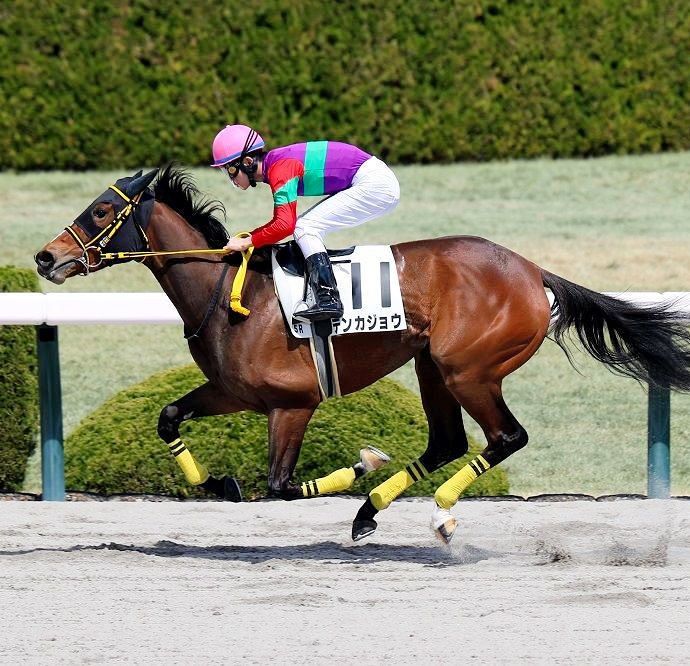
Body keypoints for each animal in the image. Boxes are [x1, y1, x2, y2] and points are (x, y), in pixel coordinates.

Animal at [35, 165, 690, 543]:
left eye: (100, 211)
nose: (46, 257)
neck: (229, 293)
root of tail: (533, 272)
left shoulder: (293, 403)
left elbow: (279, 485)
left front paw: (361, 463)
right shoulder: (233, 392)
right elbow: (169, 418)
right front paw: (219, 481)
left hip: (469, 369)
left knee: (507, 437)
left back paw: (436, 511)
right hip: (431, 366)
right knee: (448, 442)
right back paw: (370, 511)